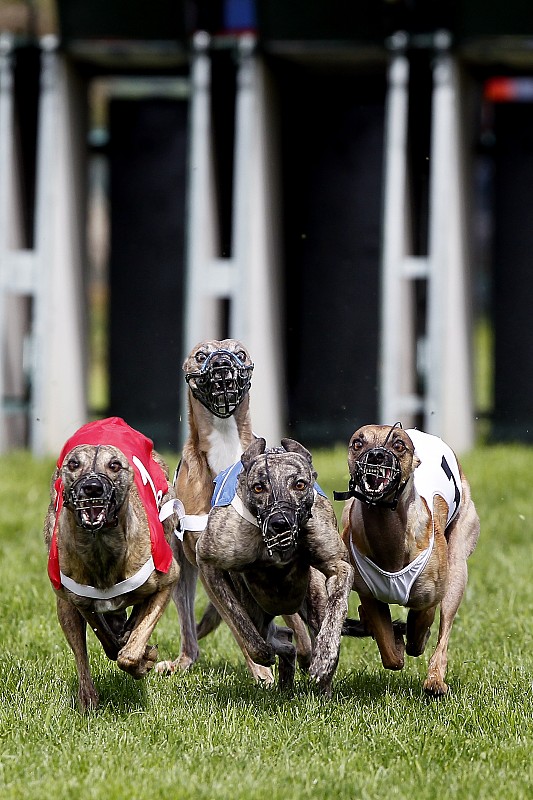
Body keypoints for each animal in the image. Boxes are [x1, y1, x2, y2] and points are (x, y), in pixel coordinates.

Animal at [44, 416, 181, 708]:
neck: (101, 547)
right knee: (82, 650)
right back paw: (88, 697)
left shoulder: (167, 579)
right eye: (74, 464)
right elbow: (108, 641)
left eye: (115, 465)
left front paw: (142, 659)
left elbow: (130, 650)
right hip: (64, 605)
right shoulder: (81, 602)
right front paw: (138, 654)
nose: (92, 487)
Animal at [195, 438, 354, 692]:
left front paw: (324, 660)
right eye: (259, 487)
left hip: (312, 597)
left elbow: (335, 610)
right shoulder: (208, 562)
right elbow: (242, 625)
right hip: (255, 607)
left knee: (304, 631)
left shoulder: (338, 565)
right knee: (281, 639)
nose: (281, 523)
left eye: (300, 484)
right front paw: (263, 653)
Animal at [336, 424, 482, 692]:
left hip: (458, 565)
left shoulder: (430, 598)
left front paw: (415, 639)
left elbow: (420, 627)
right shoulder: (369, 595)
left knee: (443, 631)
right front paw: (394, 640)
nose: (376, 456)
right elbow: (391, 655)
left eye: (399, 445)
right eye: (358, 443)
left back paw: (435, 680)